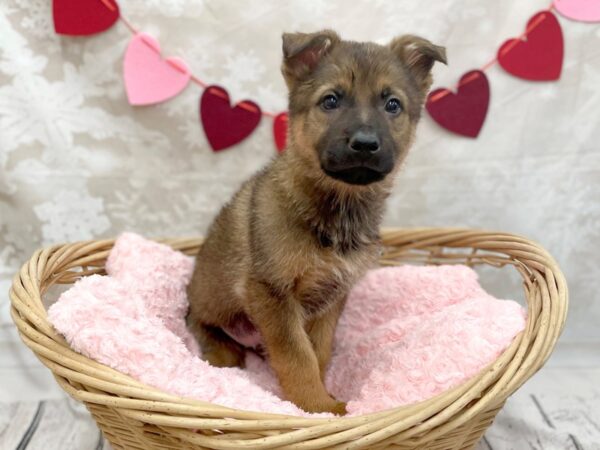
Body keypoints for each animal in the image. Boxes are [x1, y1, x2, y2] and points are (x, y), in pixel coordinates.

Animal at [188, 29, 446, 414]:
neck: (337, 210)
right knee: (206, 330)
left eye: (392, 105)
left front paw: (324, 395)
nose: (365, 144)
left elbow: (318, 351)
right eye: (330, 100)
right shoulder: (271, 291)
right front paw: (317, 406)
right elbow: (297, 357)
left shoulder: (331, 297)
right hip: (211, 309)